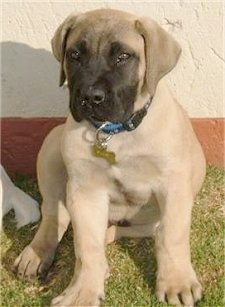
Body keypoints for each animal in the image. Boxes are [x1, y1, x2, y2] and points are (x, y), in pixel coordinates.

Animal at [13, 8, 206, 306]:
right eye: (74, 55)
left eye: (123, 56)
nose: (90, 97)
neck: (115, 133)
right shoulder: (86, 192)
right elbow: (86, 246)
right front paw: (83, 291)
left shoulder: (173, 187)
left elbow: (172, 235)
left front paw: (177, 281)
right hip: (52, 144)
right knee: (55, 214)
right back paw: (37, 254)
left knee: (141, 230)